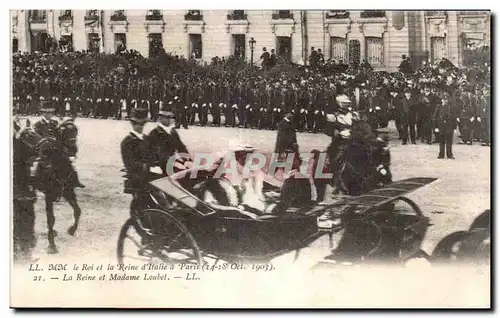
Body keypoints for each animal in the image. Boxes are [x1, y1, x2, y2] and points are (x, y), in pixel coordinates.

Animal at [16, 117, 83, 253]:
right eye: (63, 131)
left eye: (75, 130)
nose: (73, 149)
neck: (58, 166)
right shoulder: (49, 196)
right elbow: (50, 219)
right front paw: (52, 245)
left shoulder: (68, 192)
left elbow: (77, 210)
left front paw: (72, 230)